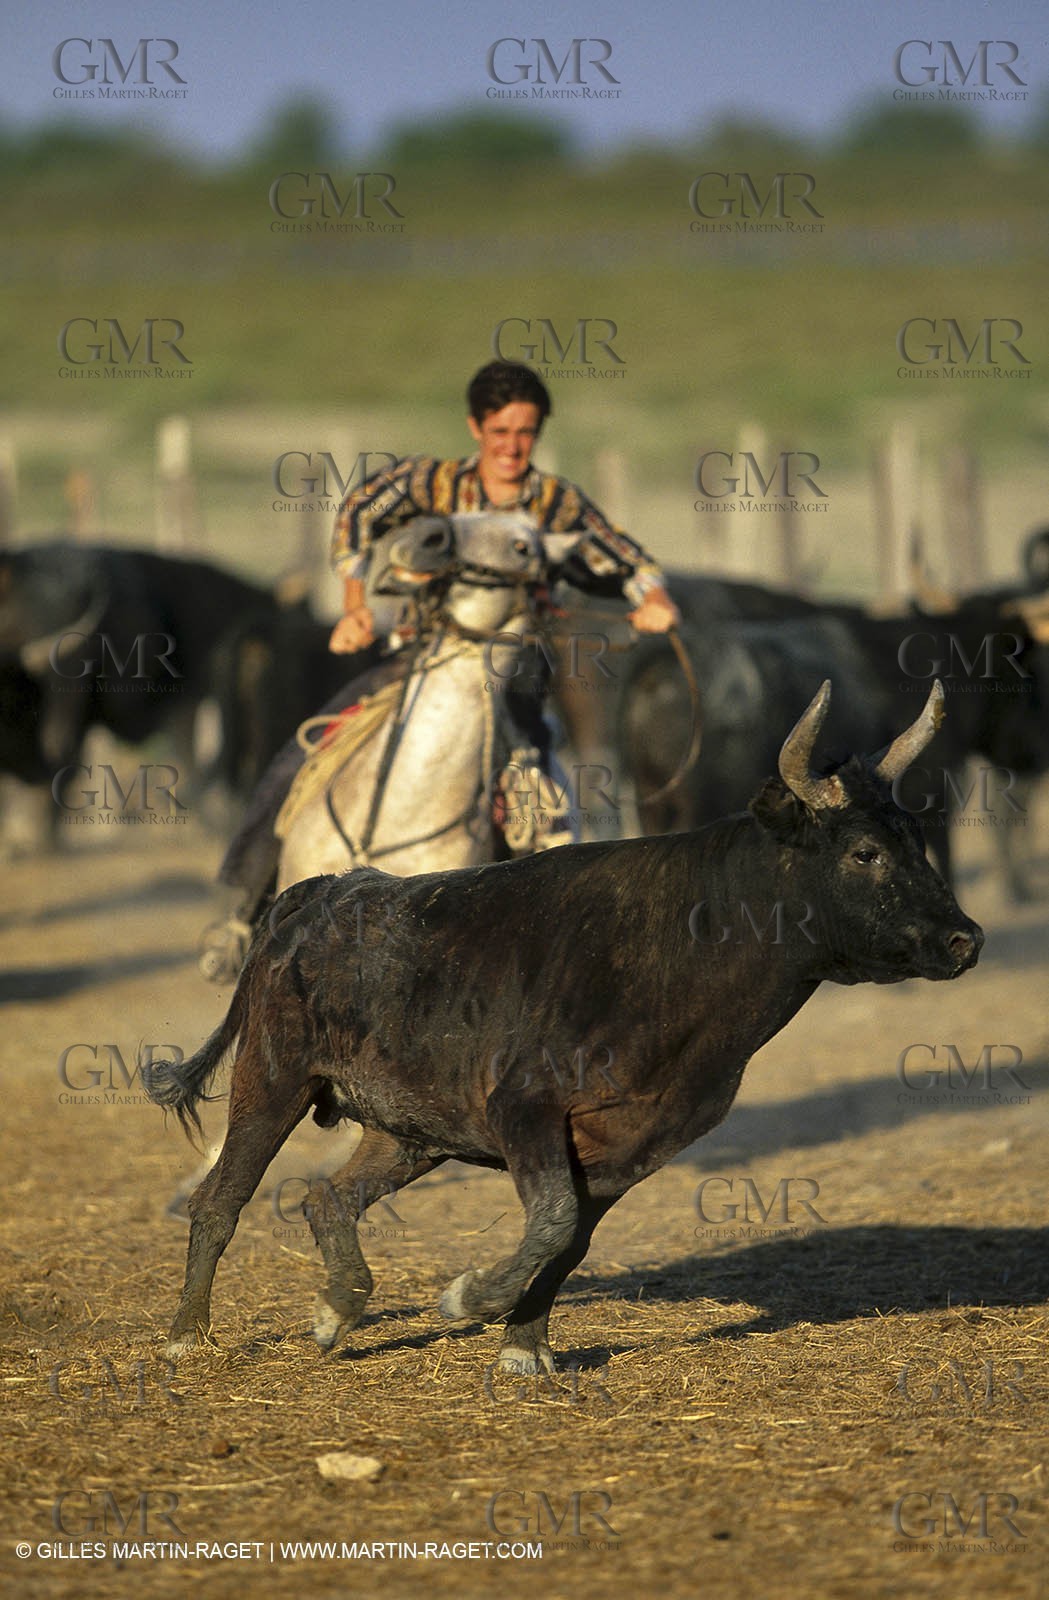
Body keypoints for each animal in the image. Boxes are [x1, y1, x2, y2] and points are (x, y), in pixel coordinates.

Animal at [144, 679, 982, 1372]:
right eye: (864, 851)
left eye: (914, 840)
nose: (963, 939)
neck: (684, 950)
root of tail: (319, 894)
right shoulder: (525, 1109)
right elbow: (549, 1223)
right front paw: (469, 1298)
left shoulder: (630, 1147)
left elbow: (571, 1239)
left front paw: (524, 1347)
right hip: (273, 1077)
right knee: (221, 1200)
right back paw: (189, 1337)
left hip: (410, 1128)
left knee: (331, 1199)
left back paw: (336, 1310)